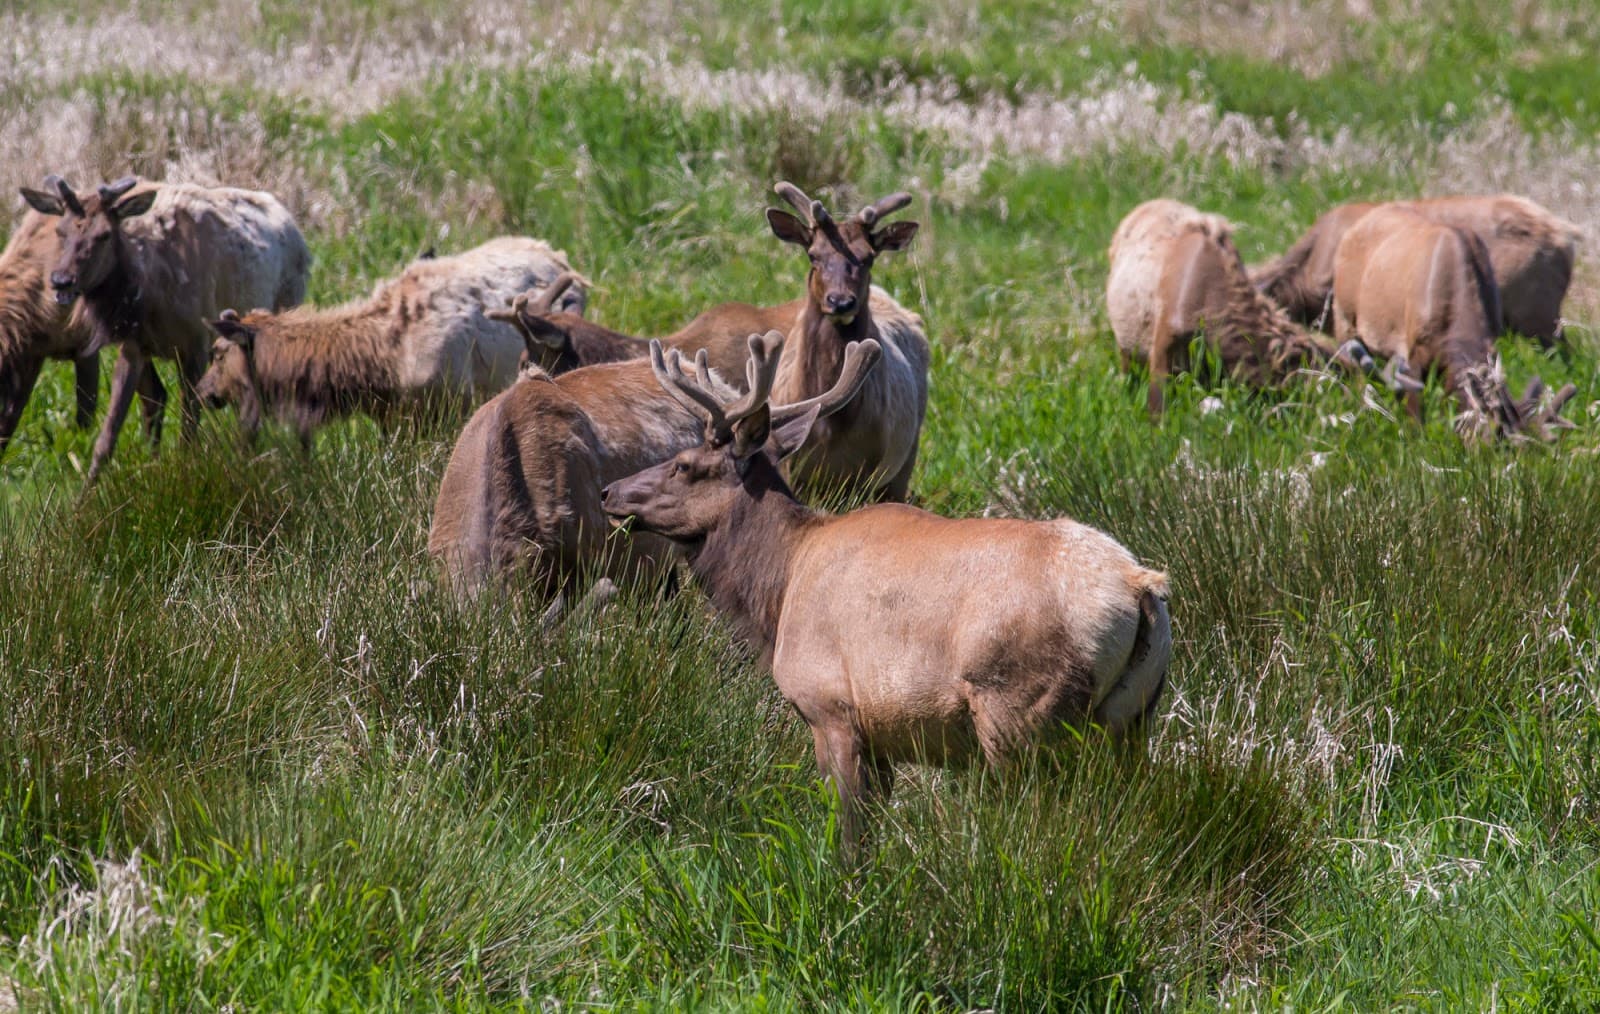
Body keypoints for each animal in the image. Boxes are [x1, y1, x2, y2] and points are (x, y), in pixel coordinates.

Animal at [600, 331, 1172, 849]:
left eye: (684, 465)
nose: (609, 492)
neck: (779, 588)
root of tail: (1140, 587)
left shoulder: (831, 706)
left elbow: (850, 836)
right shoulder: (882, 734)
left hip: (1022, 713)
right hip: (1133, 719)